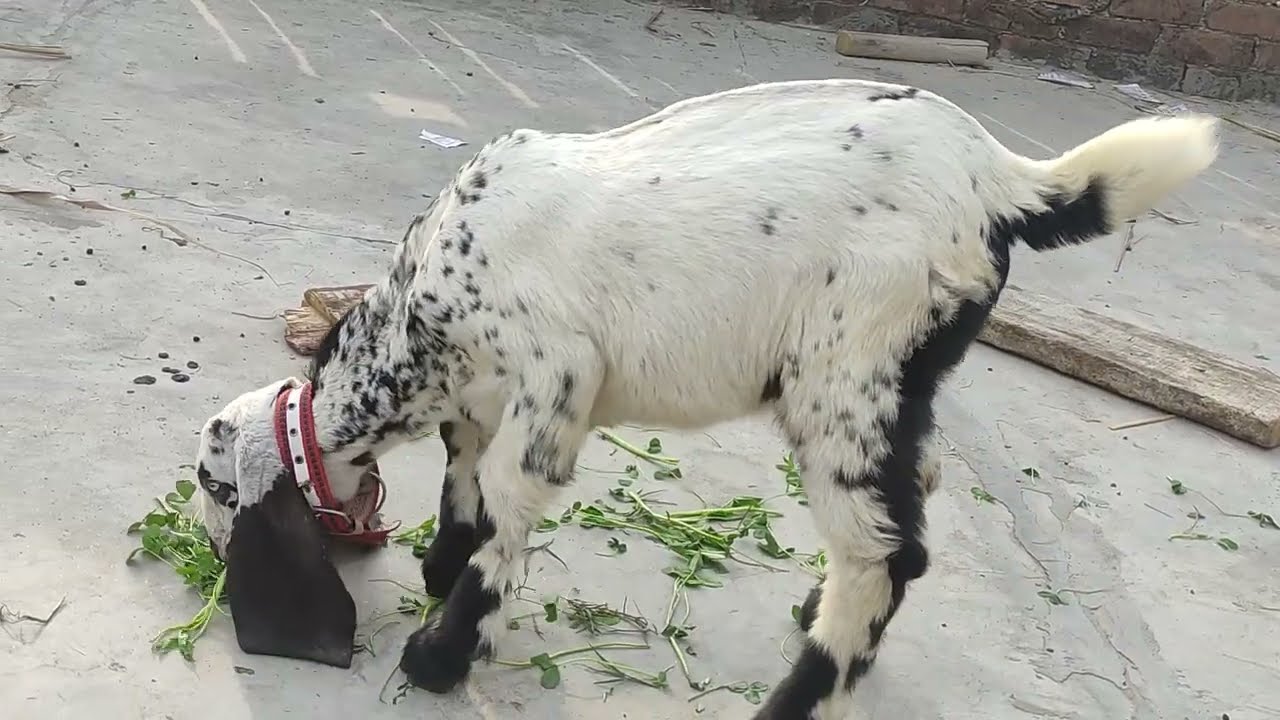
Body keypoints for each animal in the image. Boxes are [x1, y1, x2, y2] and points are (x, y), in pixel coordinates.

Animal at [193, 79, 1217, 718]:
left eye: (213, 486)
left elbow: (513, 500)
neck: (419, 320)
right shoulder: (484, 393)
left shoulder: (556, 376)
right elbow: (464, 466)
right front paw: (446, 564)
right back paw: (818, 611)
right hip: (902, 375)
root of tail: (1006, 182)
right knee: (914, 503)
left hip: (845, 371)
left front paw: (443, 651)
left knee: (881, 552)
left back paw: (797, 697)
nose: (209, 552)